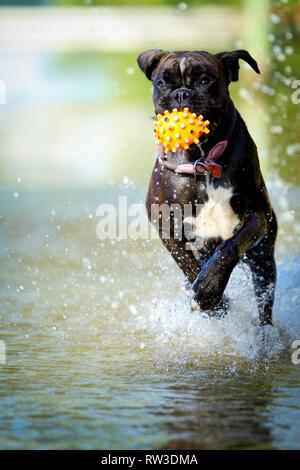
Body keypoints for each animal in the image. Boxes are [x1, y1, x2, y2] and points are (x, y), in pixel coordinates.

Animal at [137, 48, 278, 326]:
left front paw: (209, 288)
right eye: (162, 83)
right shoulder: (167, 227)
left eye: (205, 80)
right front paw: (211, 298)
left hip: (264, 260)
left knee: (264, 302)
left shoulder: (256, 217)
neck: (200, 161)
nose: (181, 93)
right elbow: (186, 264)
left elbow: (229, 248)